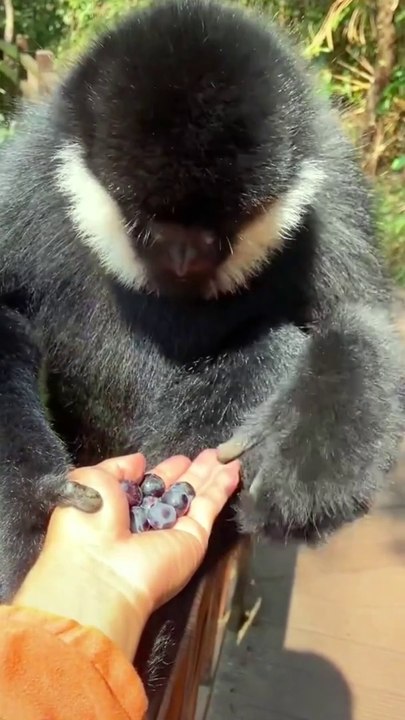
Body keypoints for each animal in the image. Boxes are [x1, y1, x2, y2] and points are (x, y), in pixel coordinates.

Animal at [0, 0, 403, 696]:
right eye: (148, 225)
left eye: (216, 236)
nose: (184, 255)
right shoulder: (31, 177)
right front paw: (32, 505)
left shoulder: (332, 186)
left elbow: (363, 319)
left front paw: (314, 469)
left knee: (269, 349)